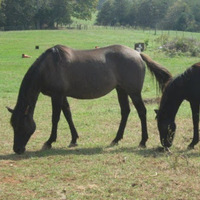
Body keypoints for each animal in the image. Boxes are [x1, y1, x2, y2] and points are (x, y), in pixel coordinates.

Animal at [7, 44, 171, 154]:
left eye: (21, 125)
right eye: (13, 125)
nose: (17, 149)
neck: (48, 67)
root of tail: (137, 54)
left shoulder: (57, 95)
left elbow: (55, 118)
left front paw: (49, 141)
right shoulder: (62, 96)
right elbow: (68, 115)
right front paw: (74, 139)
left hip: (133, 92)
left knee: (142, 112)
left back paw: (142, 141)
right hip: (121, 90)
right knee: (125, 111)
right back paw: (116, 139)